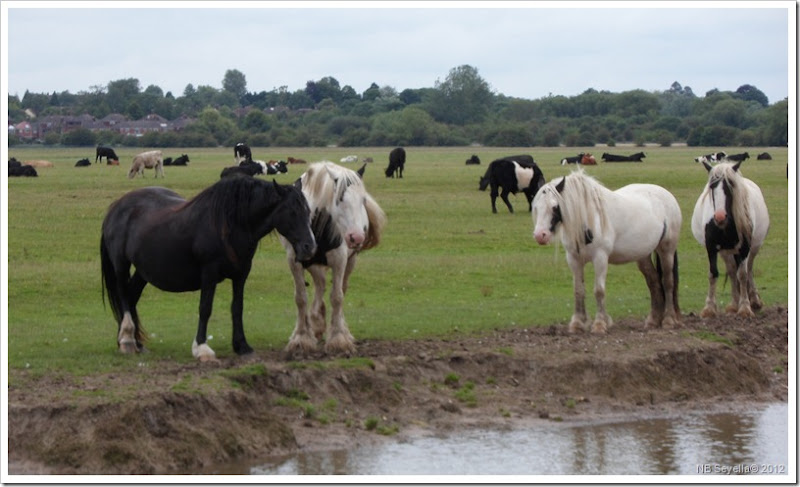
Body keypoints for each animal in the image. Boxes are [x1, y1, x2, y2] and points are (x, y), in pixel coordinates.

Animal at [98, 173, 314, 360]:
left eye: (308, 211)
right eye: (292, 212)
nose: (310, 246)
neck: (231, 224)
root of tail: (116, 207)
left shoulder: (241, 274)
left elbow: (237, 307)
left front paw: (242, 346)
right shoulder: (209, 273)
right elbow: (205, 308)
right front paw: (202, 347)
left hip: (142, 271)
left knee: (131, 296)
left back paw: (135, 343)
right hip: (121, 265)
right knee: (123, 295)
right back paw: (127, 339)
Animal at [280, 162, 386, 356]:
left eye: (363, 200)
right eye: (340, 199)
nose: (356, 237)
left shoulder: (340, 260)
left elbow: (337, 297)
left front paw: (338, 339)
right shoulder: (294, 261)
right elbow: (300, 298)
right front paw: (301, 338)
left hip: (350, 262)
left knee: (339, 288)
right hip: (313, 263)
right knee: (320, 283)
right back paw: (317, 321)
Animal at [532, 170, 680, 334]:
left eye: (554, 207)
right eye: (536, 207)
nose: (540, 235)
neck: (587, 219)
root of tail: (667, 195)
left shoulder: (600, 258)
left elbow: (599, 290)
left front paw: (600, 323)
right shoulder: (574, 259)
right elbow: (578, 290)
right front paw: (578, 323)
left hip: (666, 250)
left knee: (668, 282)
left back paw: (668, 319)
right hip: (643, 255)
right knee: (653, 281)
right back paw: (653, 320)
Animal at [688, 162, 768, 318]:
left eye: (730, 186)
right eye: (712, 186)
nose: (719, 216)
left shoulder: (744, 248)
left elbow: (742, 275)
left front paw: (745, 307)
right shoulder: (711, 247)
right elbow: (713, 274)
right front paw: (709, 308)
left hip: (753, 248)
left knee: (749, 269)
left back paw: (754, 300)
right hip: (726, 252)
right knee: (731, 271)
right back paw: (734, 304)